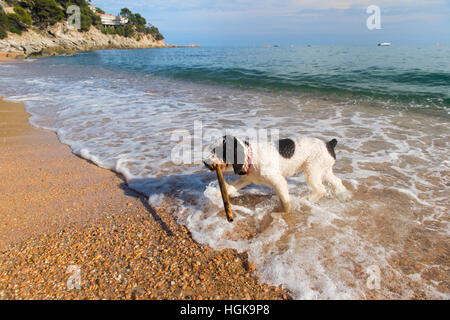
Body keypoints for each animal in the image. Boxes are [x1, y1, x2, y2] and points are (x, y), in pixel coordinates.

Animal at [202, 135, 350, 212]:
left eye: (217, 151)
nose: (204, 162)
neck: (251, 156)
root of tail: (329, 144)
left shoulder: (279, 181)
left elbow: (285, 201)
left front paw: (285, 212)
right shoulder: (245, 179)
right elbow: (229, 189)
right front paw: (215, 197)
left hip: (312, 170)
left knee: (321, 189)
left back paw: (305, 200)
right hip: (324, 170)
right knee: (337, 182)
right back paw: (344, 195)